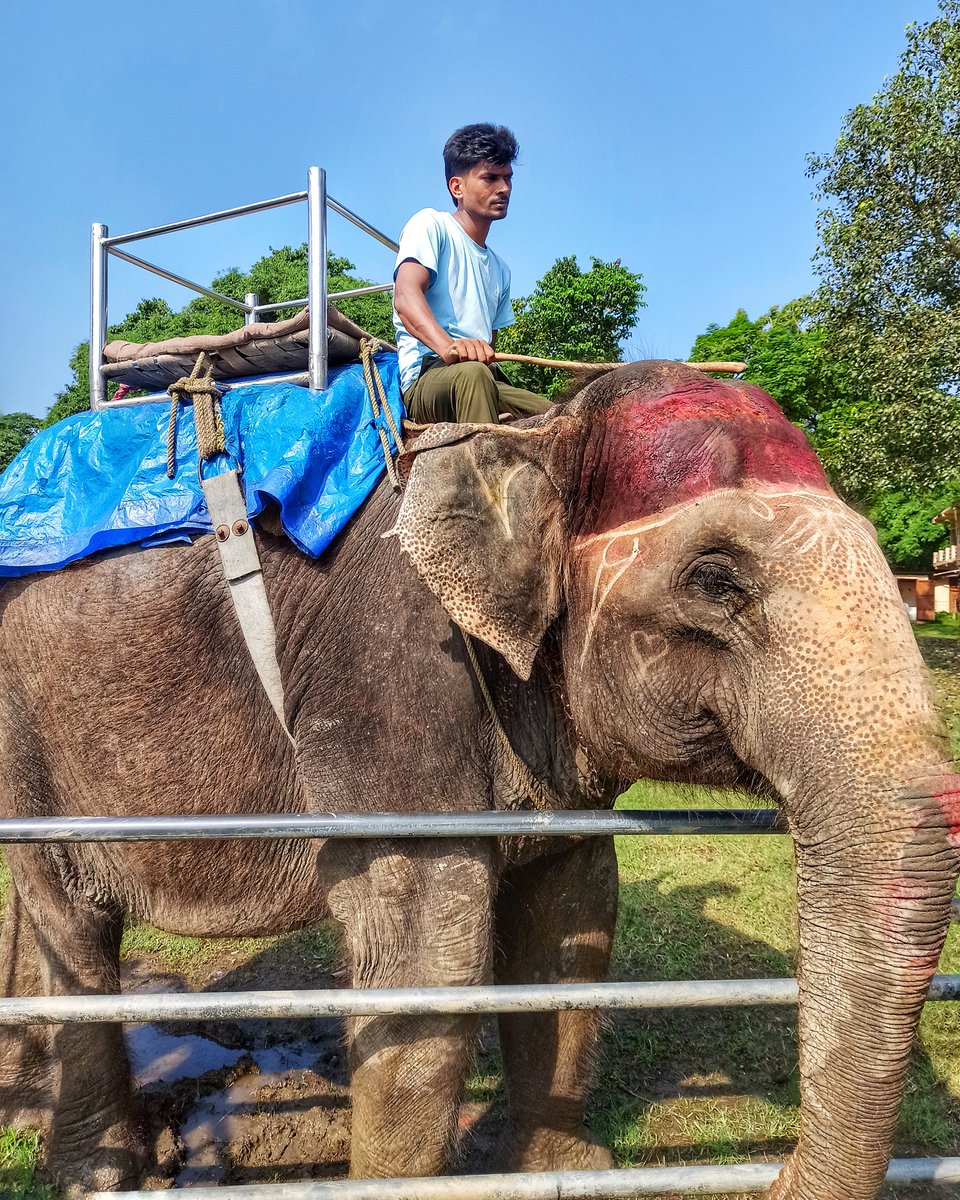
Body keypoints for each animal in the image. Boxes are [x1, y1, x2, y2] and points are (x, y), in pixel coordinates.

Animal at [0, 359, 957, 1199]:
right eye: (716, 580)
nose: (772, 1174)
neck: (536, 435)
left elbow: (571, 925)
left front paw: (561, 1170)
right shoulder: (389, 673)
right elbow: (429, 952)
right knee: (72, 920)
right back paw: (96, 1172)